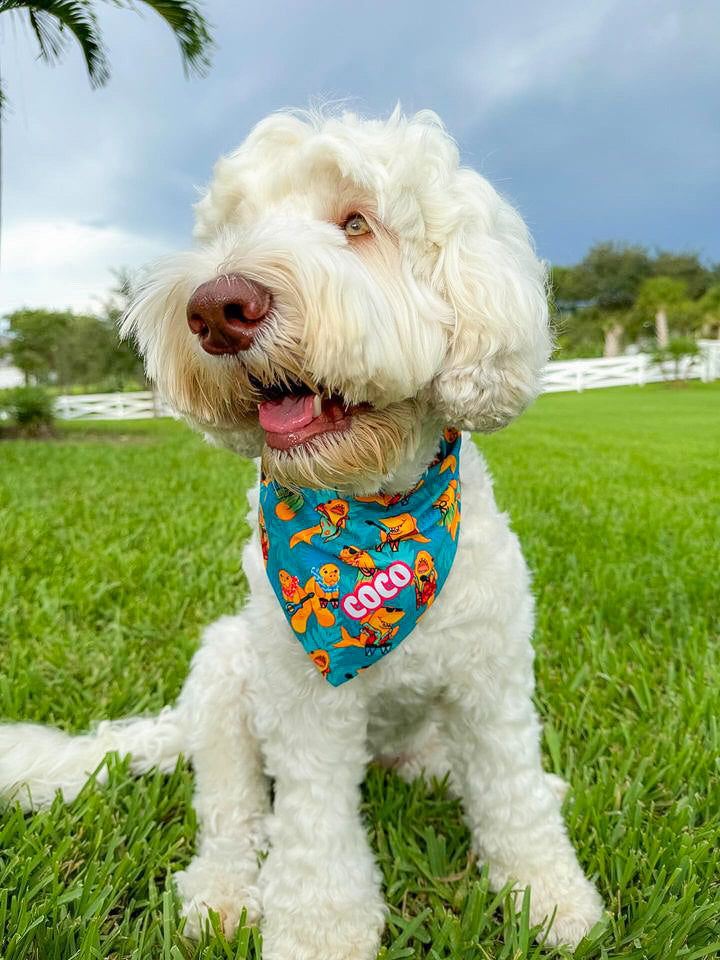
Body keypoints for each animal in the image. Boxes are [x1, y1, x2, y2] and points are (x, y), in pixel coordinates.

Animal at [0, 109, 604, 956]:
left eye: (356, 222)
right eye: (233, 227)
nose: (216, 308)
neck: (373, 520)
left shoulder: (491, 680)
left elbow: (511, 792)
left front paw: (548, 894)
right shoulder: (309, 709)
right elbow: (314, 834)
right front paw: (319, 930)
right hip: (225, 684)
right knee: (231, 816)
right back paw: (223, 896)